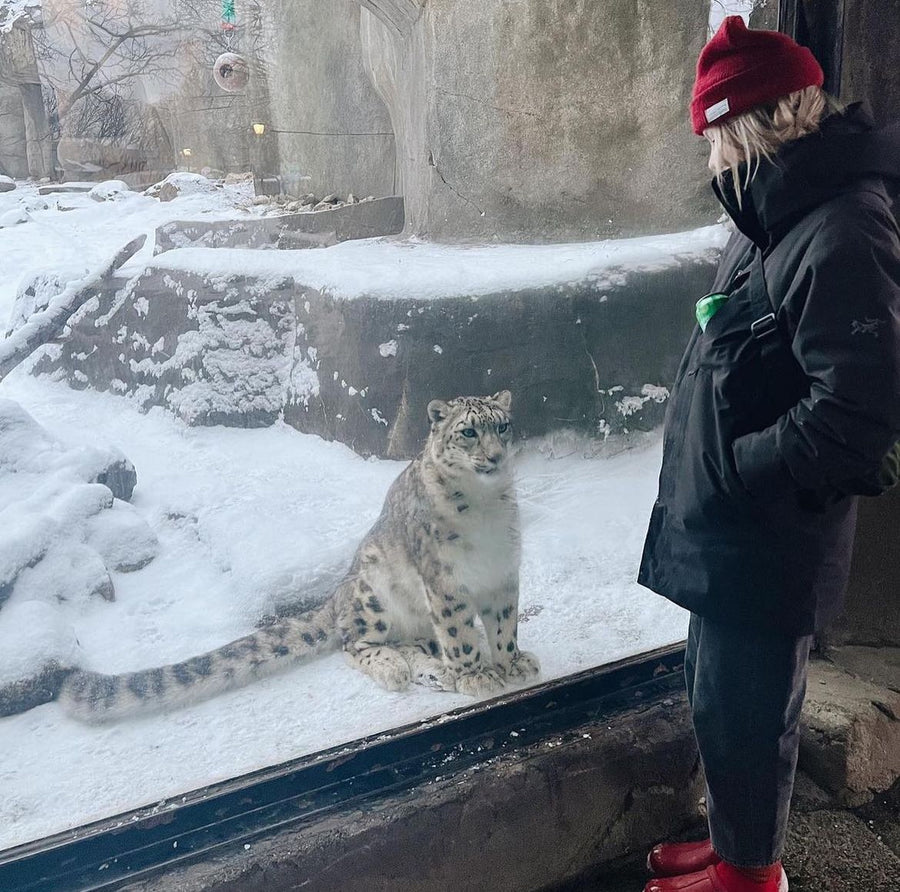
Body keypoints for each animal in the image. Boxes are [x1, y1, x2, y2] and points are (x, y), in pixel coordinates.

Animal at [3, 388, 536, 716]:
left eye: (504, 426)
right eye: (468, 431)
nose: (494, 456)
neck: (486, 508)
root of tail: (338, 595)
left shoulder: (503, 570)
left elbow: (504, 622)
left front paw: (512, 663)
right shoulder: (445, 582)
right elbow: (459, 633)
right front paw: (477, 675)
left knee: (415, 643)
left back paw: (431, 668)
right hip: (375, 596)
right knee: (356, 643)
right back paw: (399, 669)